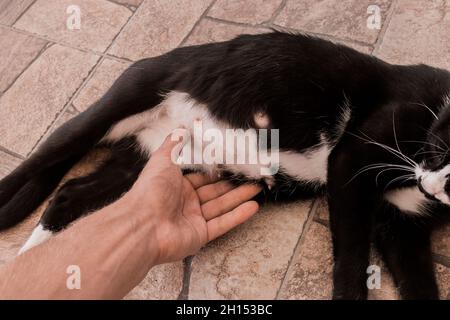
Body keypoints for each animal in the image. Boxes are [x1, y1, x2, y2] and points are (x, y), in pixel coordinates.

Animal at [0, 31, 450, 298]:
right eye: (440, 151)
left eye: (445, 183)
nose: (429, 185)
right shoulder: (349, 162)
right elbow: (353, 258)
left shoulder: (402, 223)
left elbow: (419, 280)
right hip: (120, 101)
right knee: (41, 159)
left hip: (140, 165)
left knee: (70, 194)